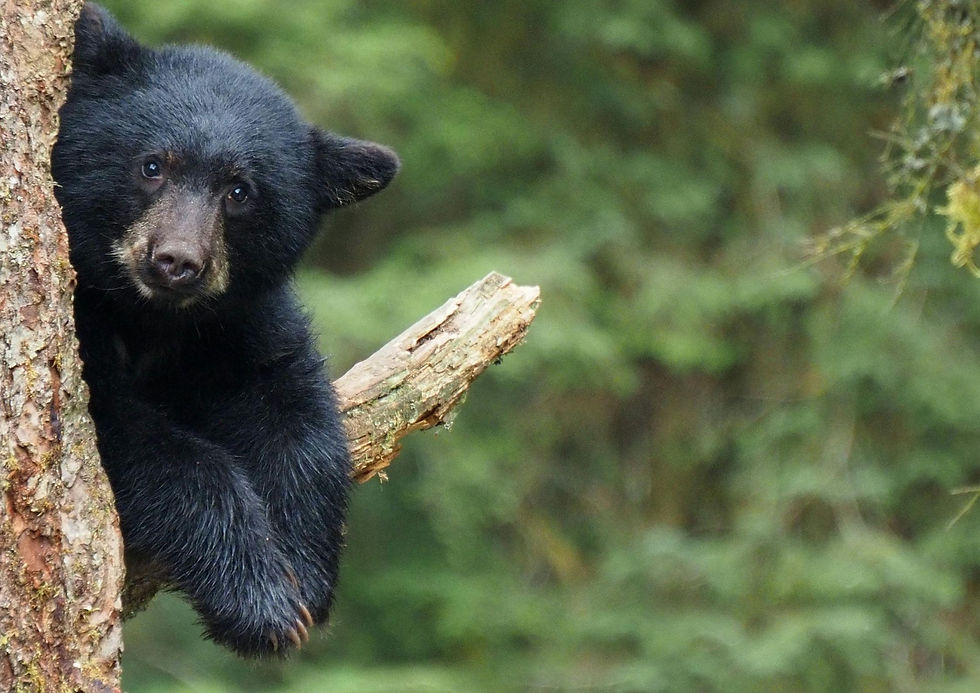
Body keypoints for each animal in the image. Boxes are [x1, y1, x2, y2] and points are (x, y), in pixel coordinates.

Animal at [50, 3, 398, 657]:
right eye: (153, 166)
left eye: (240, 191)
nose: (176, 262)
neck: (151, 317)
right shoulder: (84, 325)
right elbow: (142, 439)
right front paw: (261, 601)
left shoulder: (238, 321)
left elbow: (290, 406)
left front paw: (306, 571)